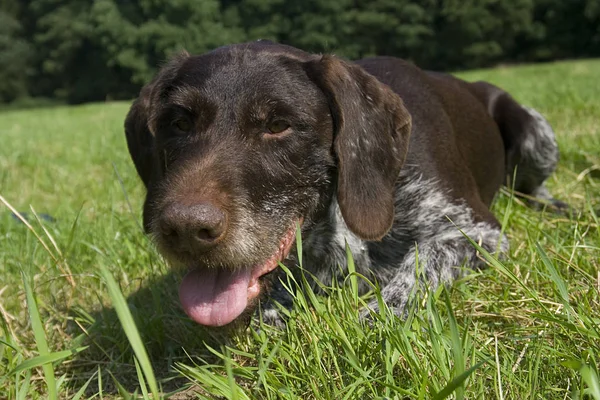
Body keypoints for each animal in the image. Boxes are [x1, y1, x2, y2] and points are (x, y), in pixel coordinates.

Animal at [123, 40, 568, 328]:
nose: (184, 229)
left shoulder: (477, 231)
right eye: (179, 123)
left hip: (534, 130)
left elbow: (422, 262)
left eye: (278, 125)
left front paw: (381, 312)